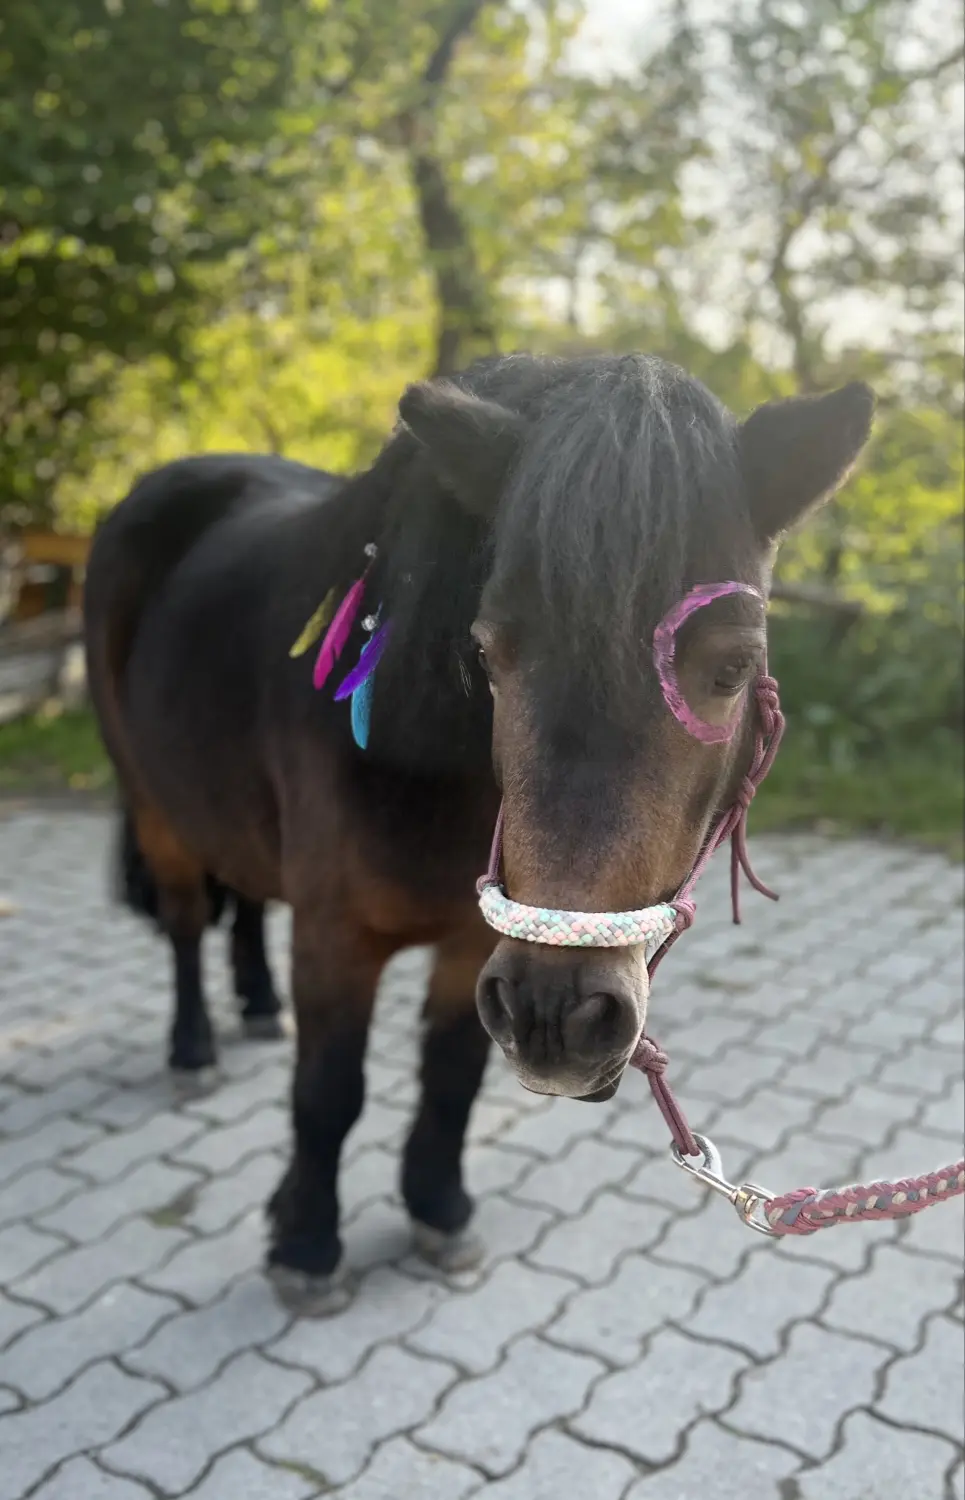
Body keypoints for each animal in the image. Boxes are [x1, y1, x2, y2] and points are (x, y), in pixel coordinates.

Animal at [83, 352, 874, 1297]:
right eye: (489, 652)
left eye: (731, 668)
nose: (561, 1016)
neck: (410, 747)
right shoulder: (334, 936)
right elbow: (327, 1092)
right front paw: (305, 1244)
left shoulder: (475, 942)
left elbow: (451, 1075)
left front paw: (437, 1207)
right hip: (155, 805)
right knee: (186, 920)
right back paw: (195, 1047)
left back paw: (258, 1004)